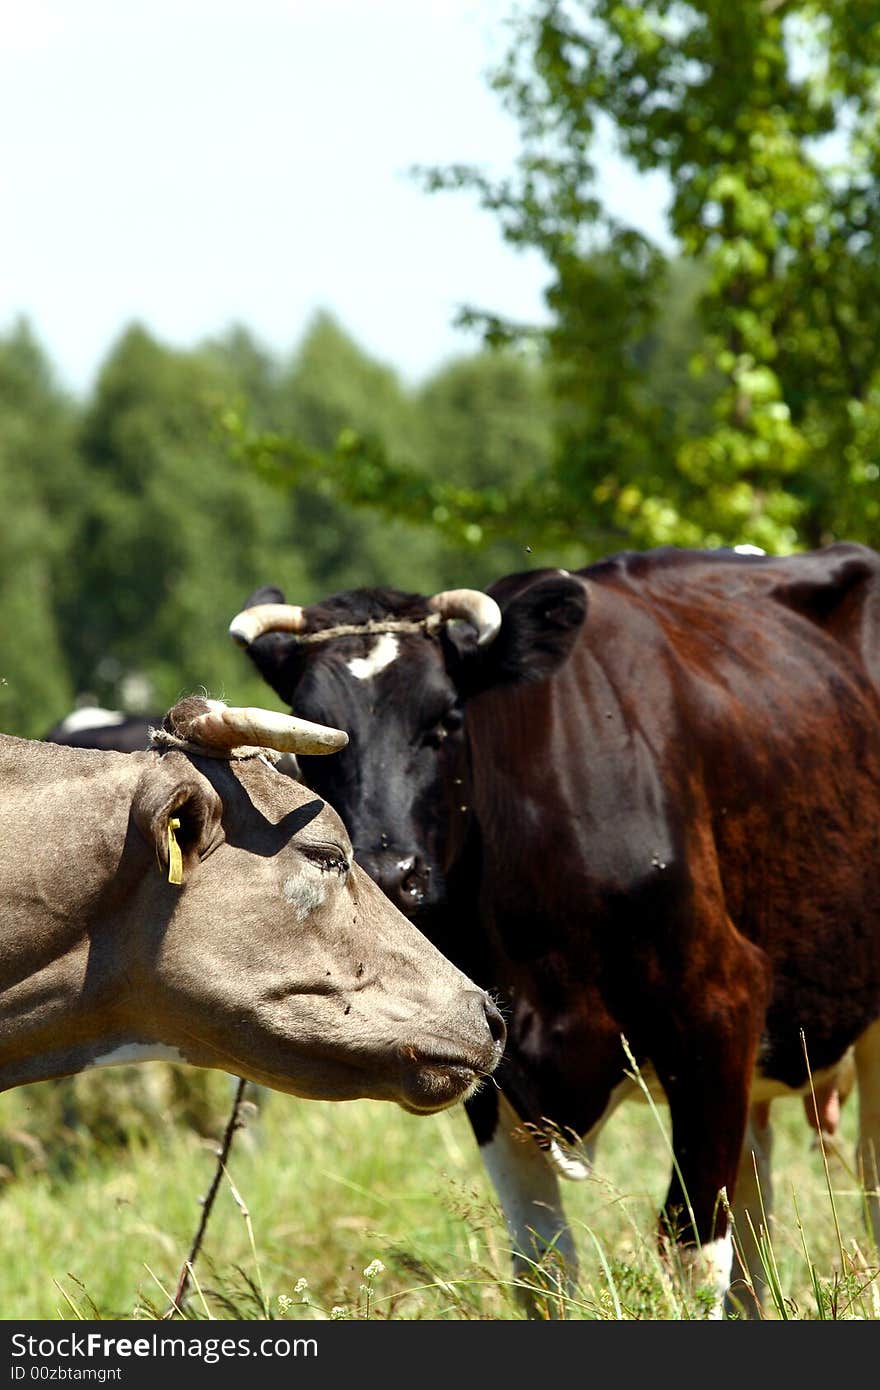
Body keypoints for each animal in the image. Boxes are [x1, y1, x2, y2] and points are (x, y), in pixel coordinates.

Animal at [229, 542, 878, 1312]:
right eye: (313, 738)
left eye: (447, 720)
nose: (388, 874)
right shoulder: (485, 1054)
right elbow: (542, 1268)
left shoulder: (719, 1008)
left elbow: (691, 1249)